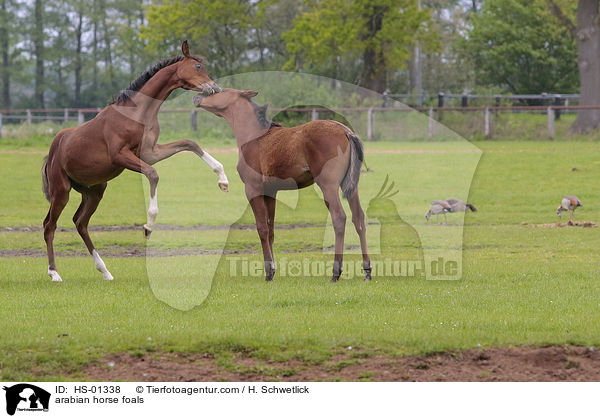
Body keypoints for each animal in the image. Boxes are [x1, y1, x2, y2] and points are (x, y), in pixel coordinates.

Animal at [42, 40, 229, 282]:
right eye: (198, 66)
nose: (215, 88)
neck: (138, 113)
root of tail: (54, 149)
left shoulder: (149, 152)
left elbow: (189, 143)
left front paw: (223, 180)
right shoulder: (121, 156)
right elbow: (153, 174)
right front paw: (148, 225)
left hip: (94, 191)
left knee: (80, 223)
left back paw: (105, 271)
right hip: (61, 191)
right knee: (50, 226)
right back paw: (54, 273)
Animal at [195, 89, 370, 282]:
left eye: (219, 91)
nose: (197, 97)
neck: (254, 136)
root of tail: (346, 131)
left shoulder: (253, 189)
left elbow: (262, 228)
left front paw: (268, 272)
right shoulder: (271, 192)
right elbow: (271, 230)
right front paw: (273, 269)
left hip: (328, 186)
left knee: (339, 218)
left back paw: (335, 272)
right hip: (351, 187)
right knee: (358, 218)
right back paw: (367, 270)